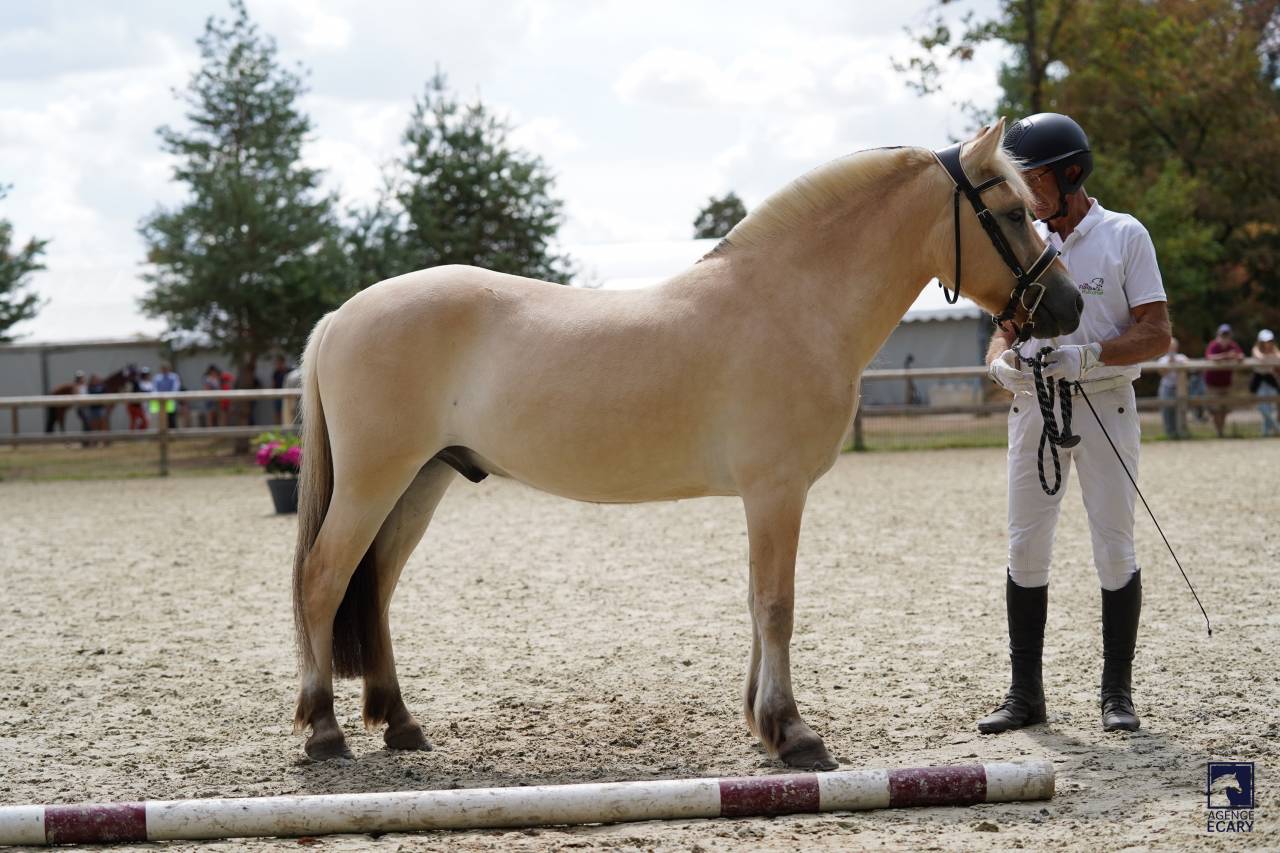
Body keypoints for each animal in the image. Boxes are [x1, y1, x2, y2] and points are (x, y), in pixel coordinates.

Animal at [291, 119, 1084, 769]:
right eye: (1012, 213)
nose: (1070, 306)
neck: (791, 301)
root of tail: (339, 316)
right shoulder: (776, 491)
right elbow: (776, 604)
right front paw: (794, 734)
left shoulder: (766, 498)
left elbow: (756, 603)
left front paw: (763, 722)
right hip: (374, 480)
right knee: (324, 579)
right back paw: (324, 731)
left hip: (421, 480)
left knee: (375, 587)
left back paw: (400, 723)